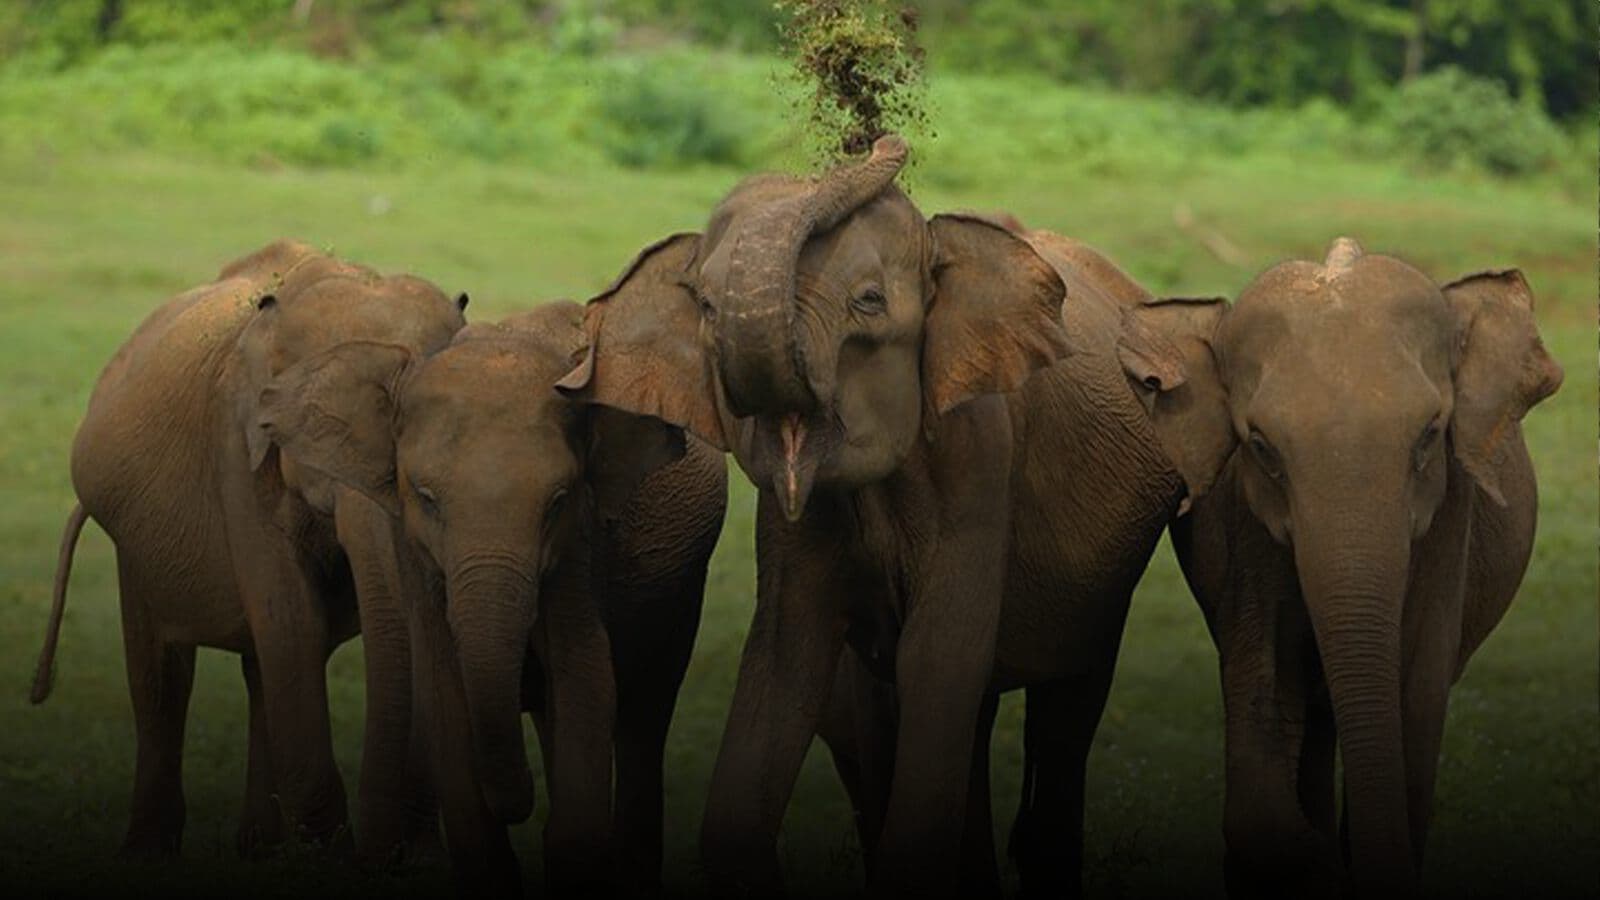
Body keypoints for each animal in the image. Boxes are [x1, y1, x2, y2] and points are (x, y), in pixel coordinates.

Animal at [30, 240, 468, 862]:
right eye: (312, 429)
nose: (396, 851)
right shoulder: (236, 448)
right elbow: (291, 618)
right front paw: (331, 854)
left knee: (260, 666)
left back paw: (258, 848)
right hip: (133, 543)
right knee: (162, 674)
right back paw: (151, 854)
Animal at [253, 301, 728, 893]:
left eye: (558, 501)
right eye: (426, 498)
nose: (519, 804)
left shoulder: (580, 545)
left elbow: (586, 677)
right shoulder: (413, 551)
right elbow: (443, 690)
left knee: (646, 711)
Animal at [554, 135, 1212, 897]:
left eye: (868, 303)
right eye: (708, 307)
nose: (878, 140)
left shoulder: (979, 461)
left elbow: (938, 654)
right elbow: (787, 657)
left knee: (1064, 707)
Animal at [1134, 238, 1564, 897]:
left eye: (1430, 434)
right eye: (1261, 446)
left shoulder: (1449, 523)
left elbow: (1414, 700)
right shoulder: (1247, 533)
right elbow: (1264, 698)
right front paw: (1312, 858)